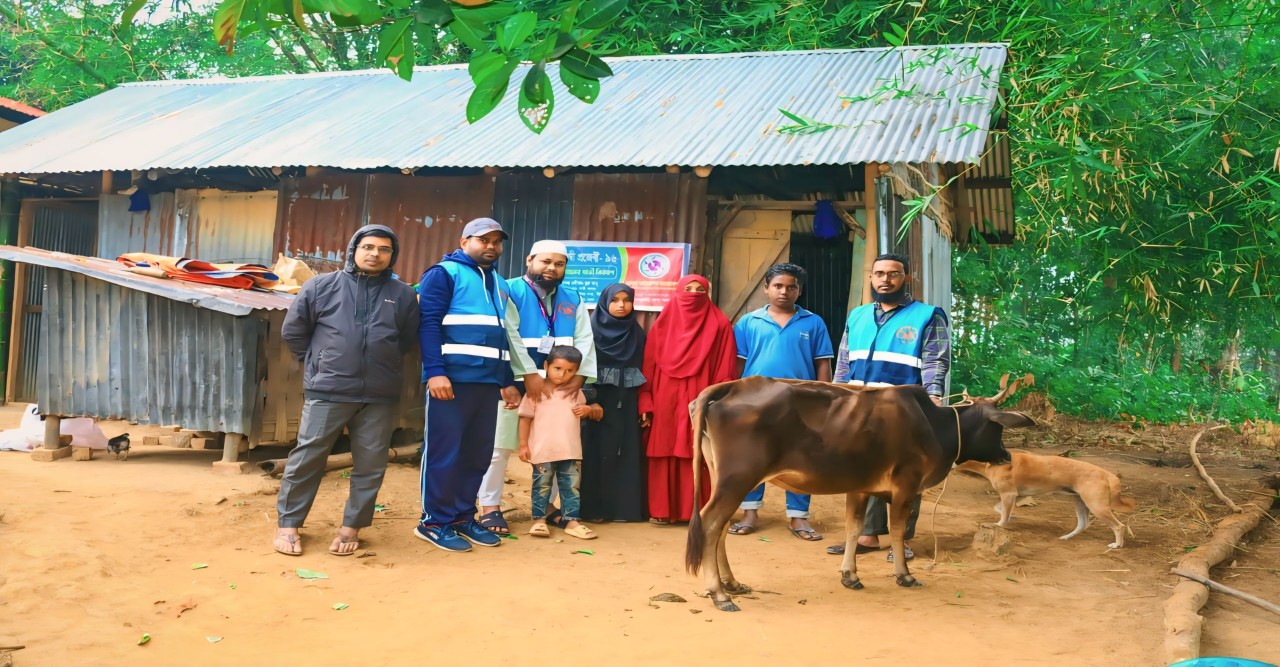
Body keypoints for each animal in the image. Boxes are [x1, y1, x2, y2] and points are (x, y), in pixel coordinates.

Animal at [686, 373, 1034, 609]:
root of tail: (731, 386)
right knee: (711, 523)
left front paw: (850, 575)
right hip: (738, 478)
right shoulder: (906, 485)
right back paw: (719, 593)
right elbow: (897, 530)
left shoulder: (859, 487)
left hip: (726, 479)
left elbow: (854, 528)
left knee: (719, 528)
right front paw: (904, 574)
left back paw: (732, 584)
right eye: (997, 427)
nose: (1006, 454)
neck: (935, 425)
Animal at [957, 450, 1136, 547]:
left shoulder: (1009, 494)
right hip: (1080, 502)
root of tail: (1107, 473)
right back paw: (1066, 537)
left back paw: (1117, 545)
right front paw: (1009, 516)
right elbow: (1001, 509)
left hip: (1096, 506)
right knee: (1083, 524)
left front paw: (1000, 523)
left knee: (1119, 526)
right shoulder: (1016, 496)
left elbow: (1002, 518)